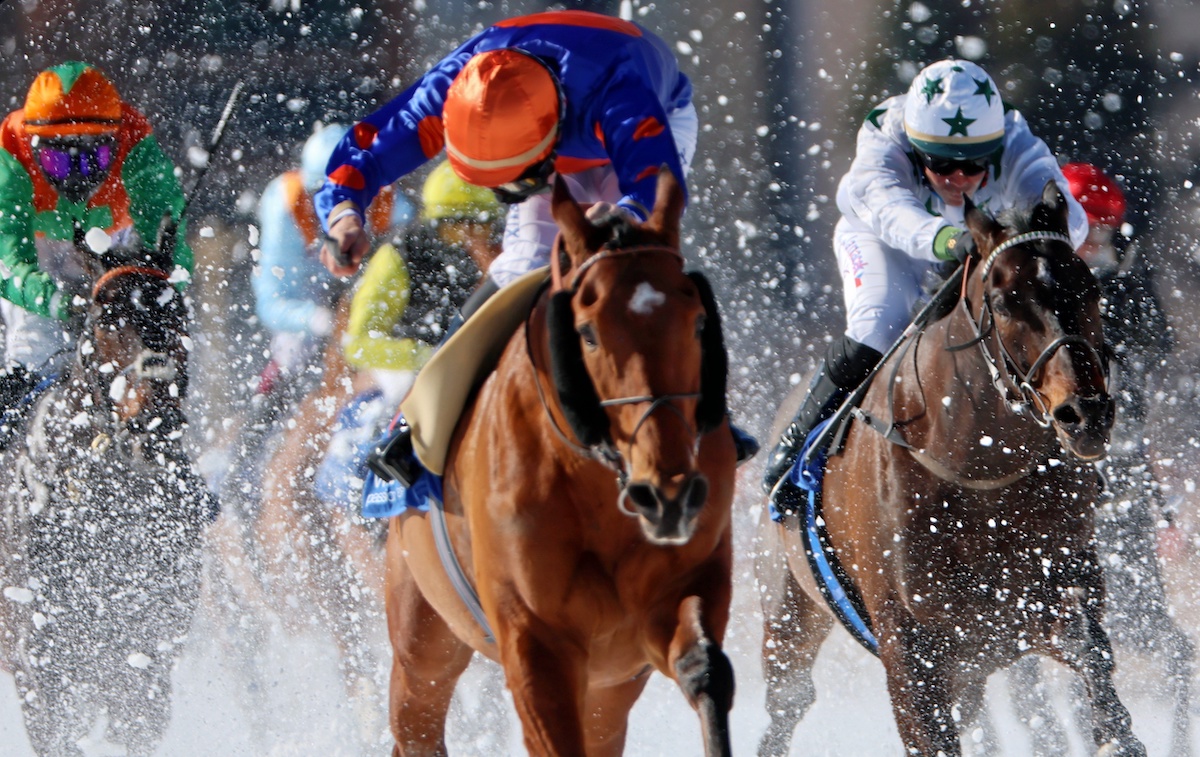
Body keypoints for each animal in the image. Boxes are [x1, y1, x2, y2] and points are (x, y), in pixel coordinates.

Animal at [384, 171, 739, 757]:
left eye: (697, 322)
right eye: (588, 332)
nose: (667, 495)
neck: (599, 486)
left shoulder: (673, 595)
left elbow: (703, 667)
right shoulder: (534, 641)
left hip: (610, 687)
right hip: (422, 633)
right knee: (417, 715)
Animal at [758, 184, 1142, 757]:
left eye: (1090, 288)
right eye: (1004, 302)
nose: (1085, 412)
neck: (978, 470)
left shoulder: (1037, 601)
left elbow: (1091, 660)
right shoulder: (910, 650)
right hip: (787, 615)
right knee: (785, 703)